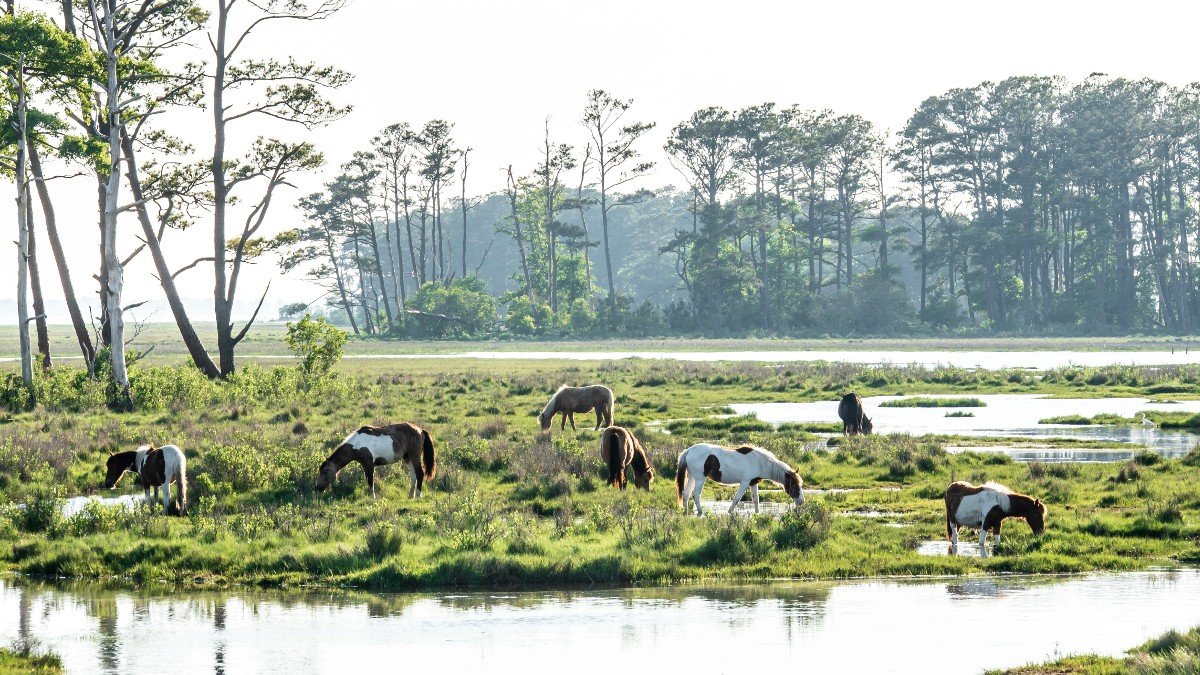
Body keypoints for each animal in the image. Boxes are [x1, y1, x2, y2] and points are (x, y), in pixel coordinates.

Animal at [675, 443, 803, 515]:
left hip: (692, 477)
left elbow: (756, 500)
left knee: (686, 493)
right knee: (695, 494)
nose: (801, 501)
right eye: (794, 485)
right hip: (700, 479)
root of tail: (689, 451)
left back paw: (686, 512)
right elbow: (737, 498)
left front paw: (757, 514)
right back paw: (700, 512)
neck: (759, 462)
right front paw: (730, 512)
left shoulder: (753, 483)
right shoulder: (745, 482)